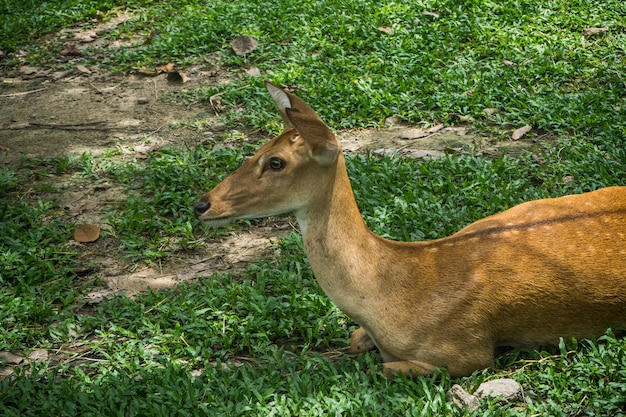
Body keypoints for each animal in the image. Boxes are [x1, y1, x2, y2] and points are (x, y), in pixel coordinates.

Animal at [194, 81, 624, 376]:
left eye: (276, 162)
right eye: (258, 149)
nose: (202, 204)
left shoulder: (468, 352)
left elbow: (388, 368)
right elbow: (354, 342)